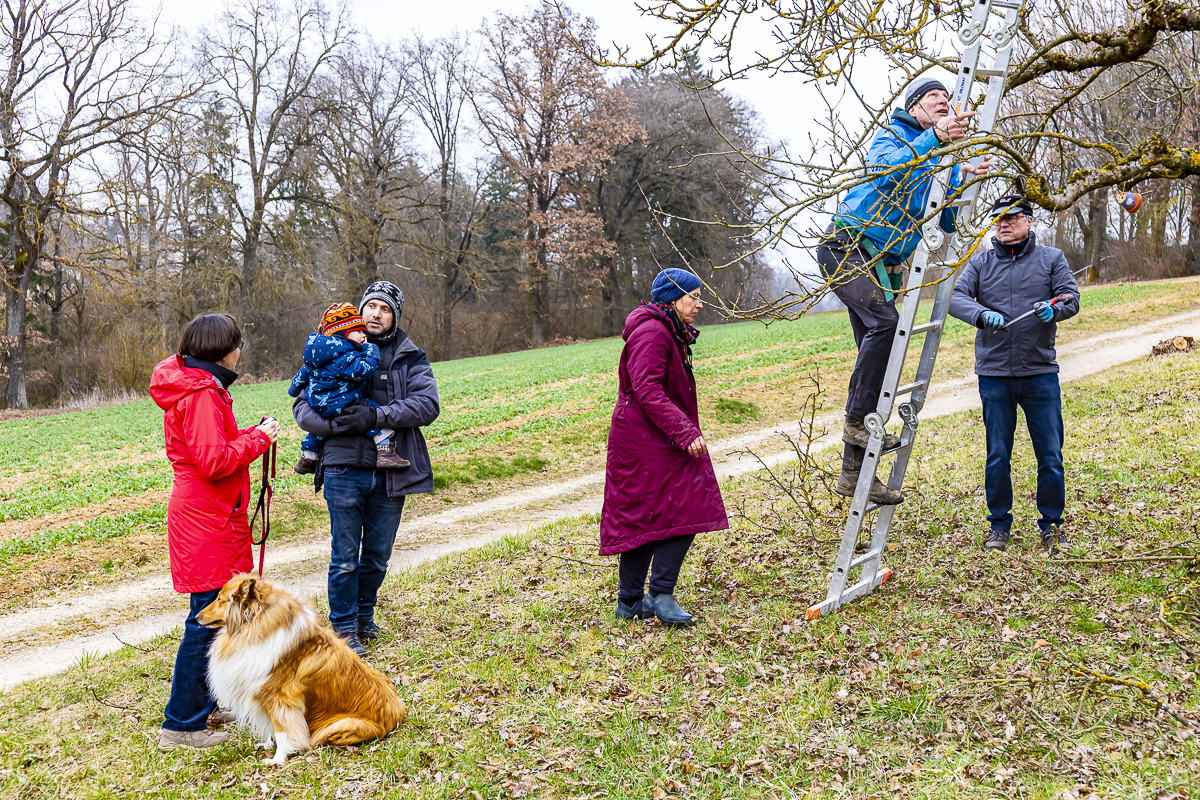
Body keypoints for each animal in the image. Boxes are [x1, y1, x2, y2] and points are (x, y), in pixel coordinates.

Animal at [197, 574, 406, 764]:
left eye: (219, 599)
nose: (197, 617)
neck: (256, 624)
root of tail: (398, 713)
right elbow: (272, 728)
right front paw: (267, 746)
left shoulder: (280, 698)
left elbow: (281, 730)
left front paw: (277, 759)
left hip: (345, 724)